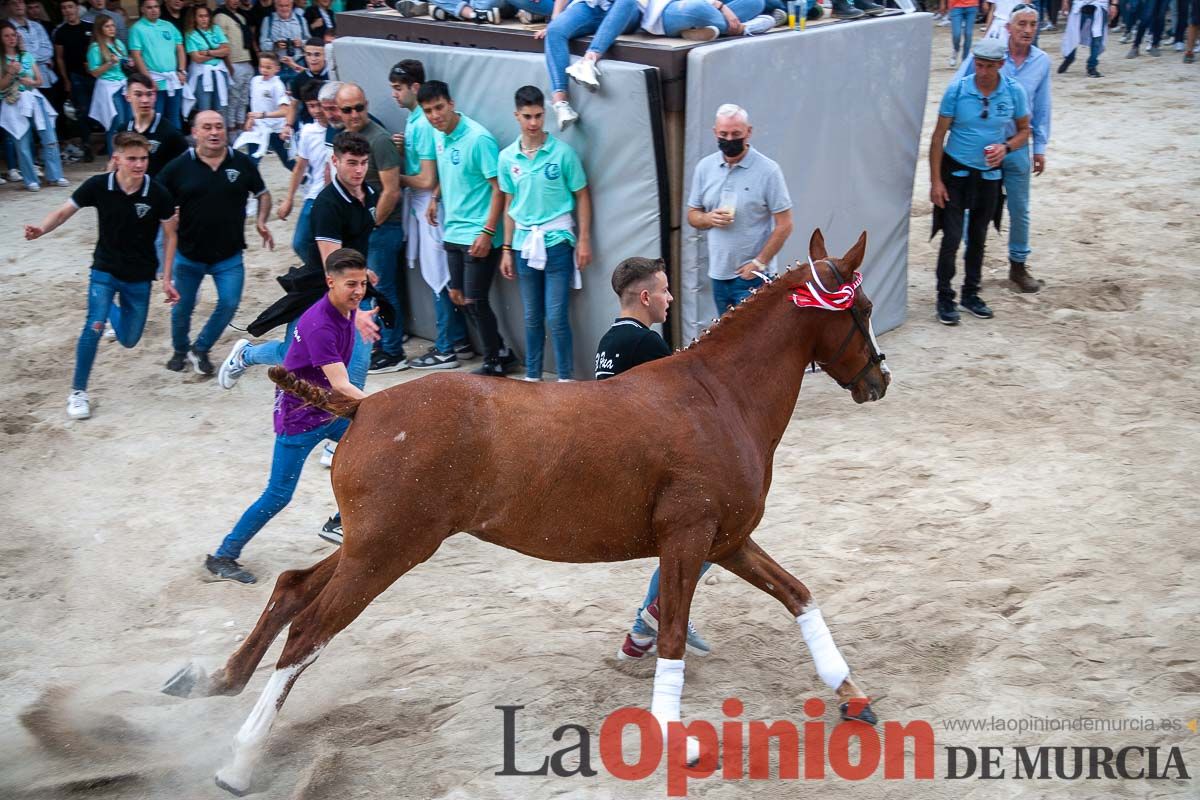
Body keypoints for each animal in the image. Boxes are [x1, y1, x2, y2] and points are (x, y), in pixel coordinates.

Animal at [162, 230, 892, 796]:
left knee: (293, 589)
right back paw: (238, 761)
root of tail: (363, 408)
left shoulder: (728, 541)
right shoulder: (689, 540)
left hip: (371, 545)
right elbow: (674, 636)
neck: (717, 398)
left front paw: (851, 693)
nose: (879, 379)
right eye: (861, 310)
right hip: (387, 553)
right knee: (309, 632)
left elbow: (798, 595)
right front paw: (673, 735)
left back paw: (212, 680)